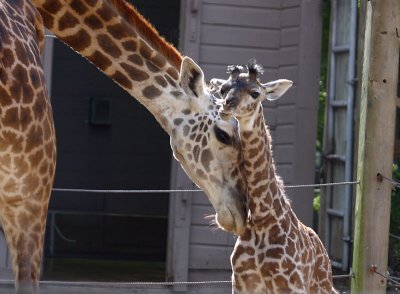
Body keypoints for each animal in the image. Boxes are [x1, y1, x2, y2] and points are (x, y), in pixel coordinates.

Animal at [212, 60, 338, 294]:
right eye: (223, 89)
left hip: (319, 287)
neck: (262, 219)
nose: (226, 106)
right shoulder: (242, 282)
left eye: (255, 93)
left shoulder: (289, 283)